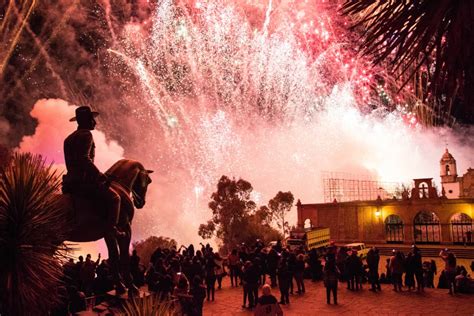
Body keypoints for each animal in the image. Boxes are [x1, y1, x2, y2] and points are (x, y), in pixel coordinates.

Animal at [58, 160, 153, 296]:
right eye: (149, 180)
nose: (141, 203)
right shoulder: (126, 230)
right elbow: (124, 258)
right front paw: (132, 288)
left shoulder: (109, 234)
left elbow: (113, 257)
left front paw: (120, 287)